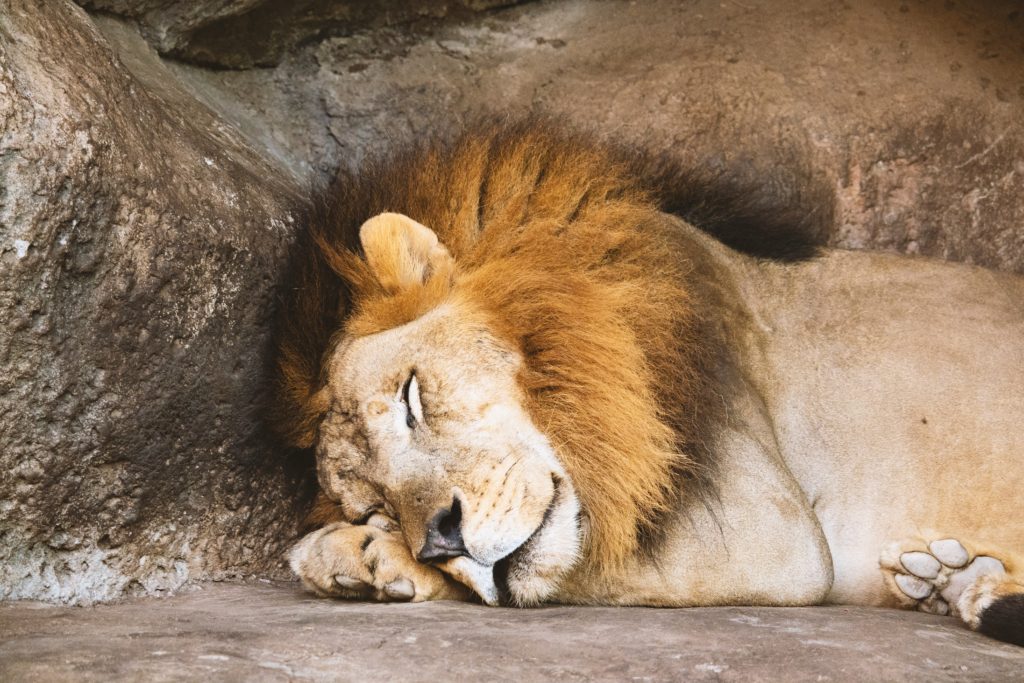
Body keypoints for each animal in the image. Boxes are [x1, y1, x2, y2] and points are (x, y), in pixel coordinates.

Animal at [271, 119, 1024, 646]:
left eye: (411, 398)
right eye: (374, 504)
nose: (441, 541)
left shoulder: (770, 532)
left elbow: (579, 560)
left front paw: (351, 554)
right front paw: (368, 554)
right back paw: (957, 582)